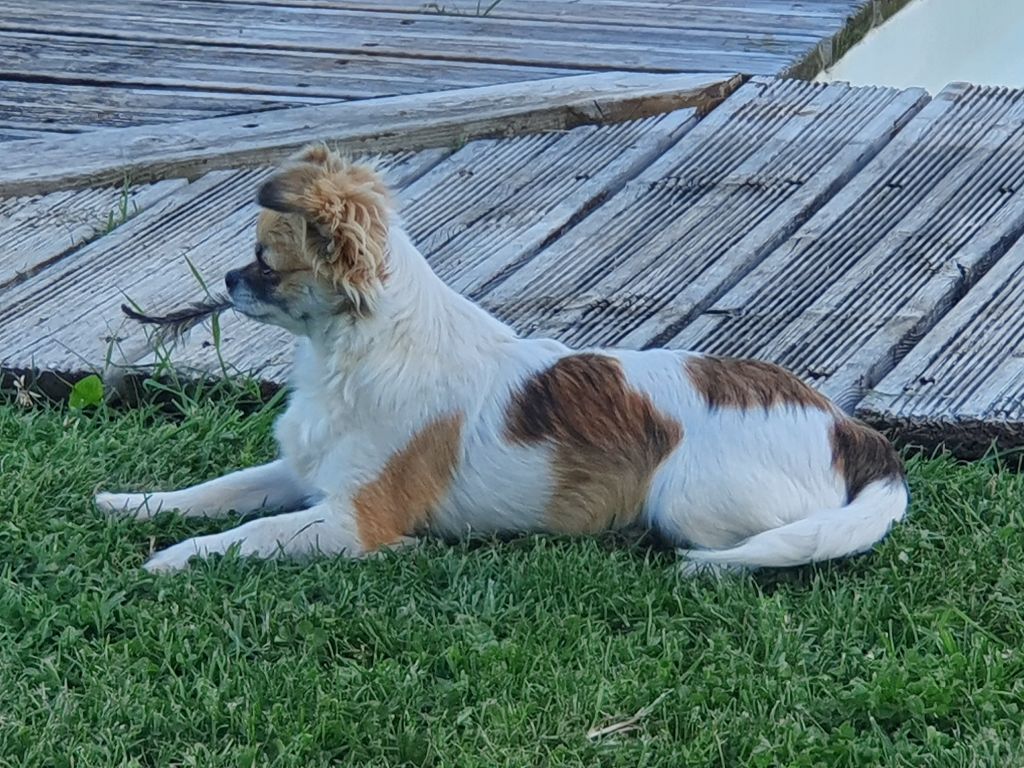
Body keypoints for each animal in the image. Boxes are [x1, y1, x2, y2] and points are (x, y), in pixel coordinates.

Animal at [96, 141, 909, 573]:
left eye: (265, 260)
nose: (227, 280)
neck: (345, 356)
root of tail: (853, 432)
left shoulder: (351, 519)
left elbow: (248, 535)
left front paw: (177, 557)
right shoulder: (303, 473)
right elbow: (217, 490)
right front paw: (132, 504)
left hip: (685, 499)